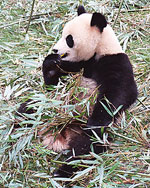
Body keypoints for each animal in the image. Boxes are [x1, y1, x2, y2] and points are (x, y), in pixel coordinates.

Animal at [17, 5, 137, 178]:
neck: (97, 51)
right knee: (30, 107)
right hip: (45, 107)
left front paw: (95, 122)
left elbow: (121, 92)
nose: (55, 49)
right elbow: (53, 85)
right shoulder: (74, 66)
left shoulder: (114, 61)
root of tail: (62, 135)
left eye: (69, 39)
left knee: (87, 148)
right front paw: (51, 62)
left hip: (95, 135)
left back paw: (63, 170)